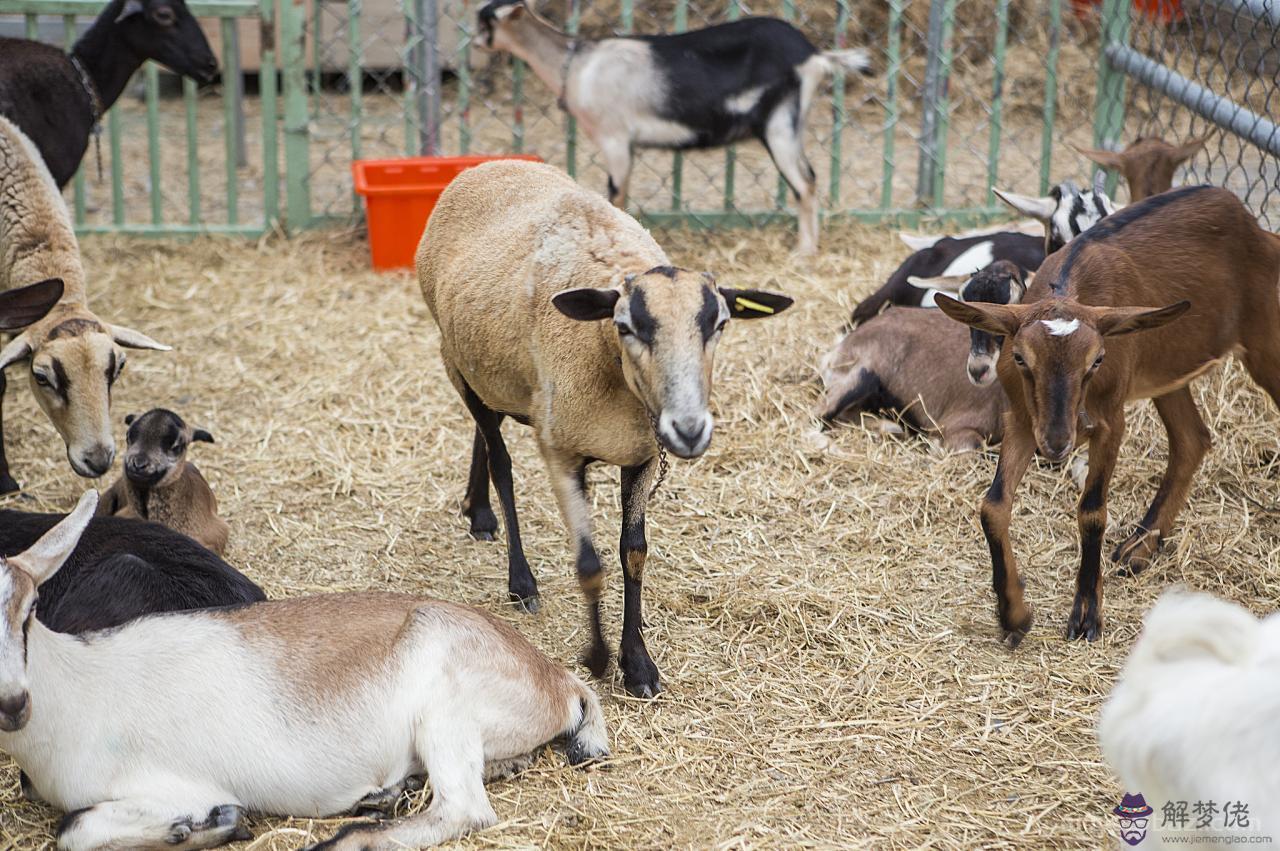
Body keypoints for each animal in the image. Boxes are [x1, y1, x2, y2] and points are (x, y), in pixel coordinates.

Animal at [419, 161, 788, 696]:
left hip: (488, 369)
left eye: (719, 323)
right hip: (455, 360)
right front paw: (598, 657)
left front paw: (638, 664)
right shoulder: (560, 451)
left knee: (484, 436)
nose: (689, 430)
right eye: (626, 326)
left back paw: (478, 511)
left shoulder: (642, 454)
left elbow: (633, 553)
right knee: (501, 461)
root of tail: (487, 164)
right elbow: (589, 563)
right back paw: (518, 577)